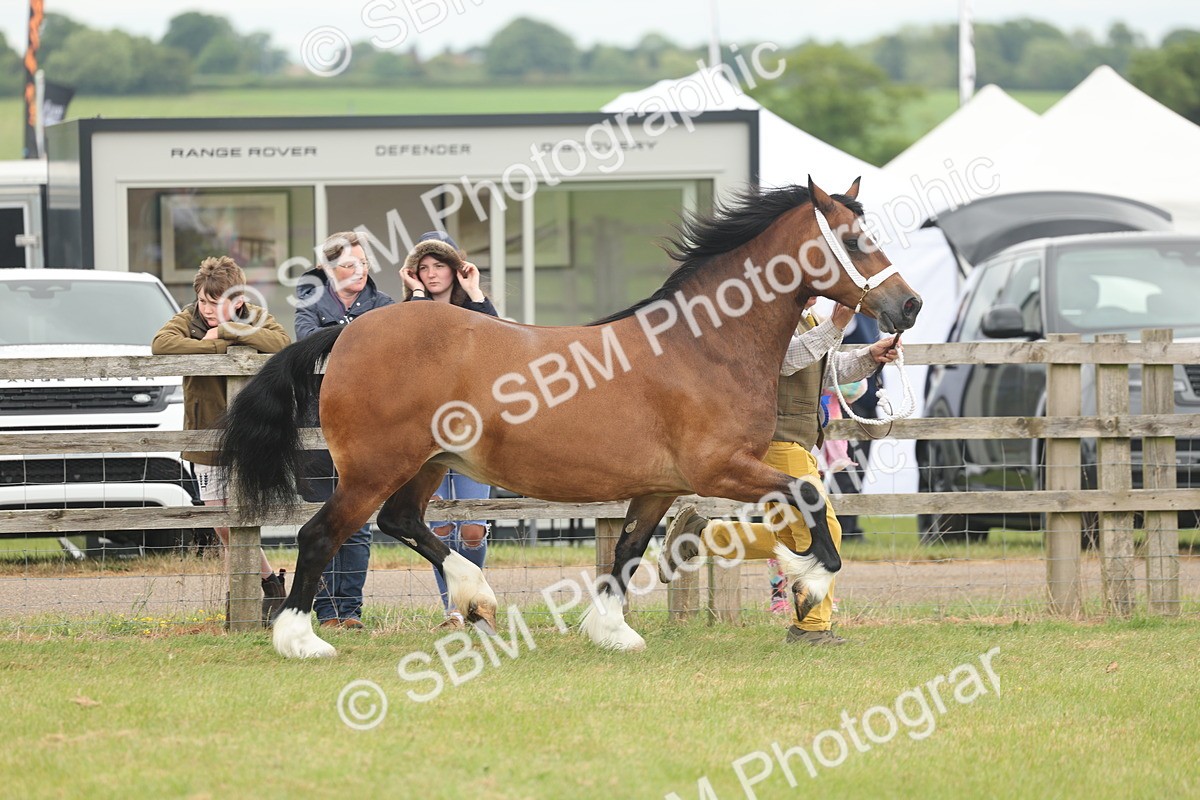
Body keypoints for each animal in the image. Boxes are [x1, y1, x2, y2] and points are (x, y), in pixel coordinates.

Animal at [218, 177, 922, 658]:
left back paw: (476, 595)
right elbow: (806, 494)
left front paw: (612, 631)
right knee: (321, 536)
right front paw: (809, 581)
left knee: (403, 521)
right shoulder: (719, 469)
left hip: (428, 463)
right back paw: (302, 640)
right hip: (373, 468)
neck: (703, 346)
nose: (909, 306)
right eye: (855, 240)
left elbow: (629, 550)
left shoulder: (659, 485)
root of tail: (348, 331)